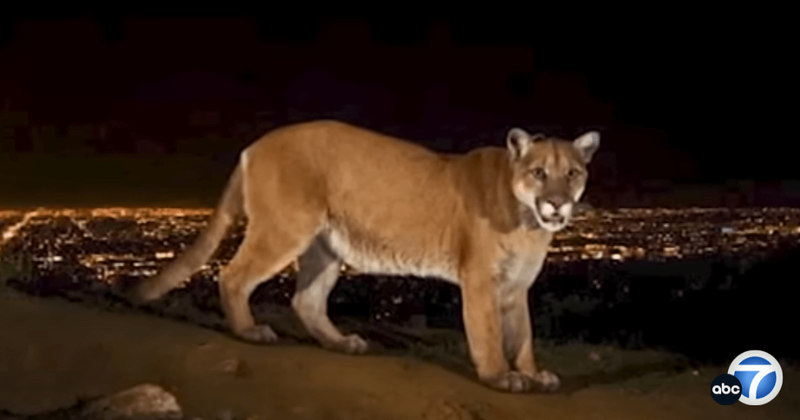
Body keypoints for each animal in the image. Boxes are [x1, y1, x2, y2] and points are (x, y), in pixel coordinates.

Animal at [131, 120, 600, 393]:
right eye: (539, 173)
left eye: (572, 173)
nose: (557, 204)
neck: (529, 223)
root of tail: (254, 144)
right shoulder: (481, 278)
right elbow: (488, 333)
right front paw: (500, 376)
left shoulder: (516, 285)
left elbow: (523, 335)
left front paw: (533, 372)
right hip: (286, 229)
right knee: (233, 275)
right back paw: (250, 331)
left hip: (326, 247)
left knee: (306, 300)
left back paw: (342, 343)